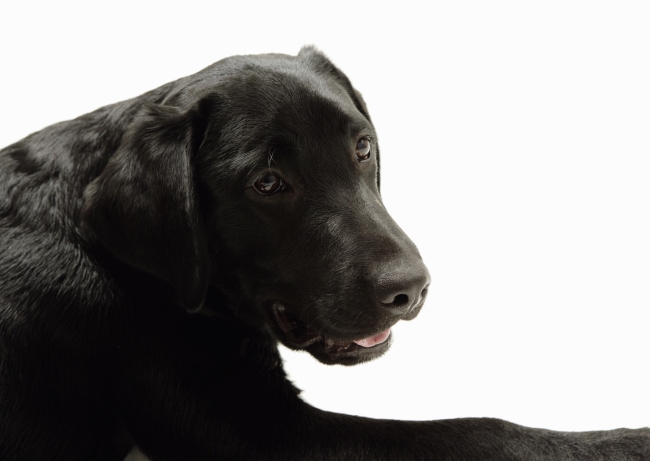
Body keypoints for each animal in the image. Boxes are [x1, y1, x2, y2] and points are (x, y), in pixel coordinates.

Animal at [1, 47, 648, 460]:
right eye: (267, 183)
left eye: (363, 148)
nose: (411, 288)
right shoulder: (257, 434)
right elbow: (478, 432)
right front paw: (625, 442)